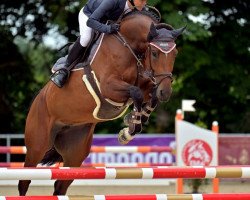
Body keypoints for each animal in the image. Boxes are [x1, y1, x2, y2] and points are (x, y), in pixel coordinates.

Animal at [18, 9, 186, 195]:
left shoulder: (145, 83)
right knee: (24, 181)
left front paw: (132, 124)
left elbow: (150, 97)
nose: (166, 92)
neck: (128, 44)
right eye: (155, 54)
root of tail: (38, 99)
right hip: (37, 146)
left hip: (75, 152)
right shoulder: (108, 87)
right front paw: (130, 127)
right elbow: (136, 94)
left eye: (175, 54)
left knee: (60, 186)